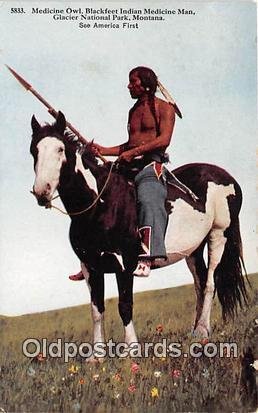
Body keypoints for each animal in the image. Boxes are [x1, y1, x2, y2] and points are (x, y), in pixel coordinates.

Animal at [29, 111, 248, 350]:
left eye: (60, 149)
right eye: (34, 150)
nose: (41, 192)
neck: (100, 205)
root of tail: (229, 179)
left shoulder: (125, 264)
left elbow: (125, 306)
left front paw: (132, 349)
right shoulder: (91, 267)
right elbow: (97, 311)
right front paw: (97, 355)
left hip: (218, 235)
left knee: (209, 282)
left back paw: (202, 331)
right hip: (193, 249)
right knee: (199, 283)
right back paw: (195, 331)